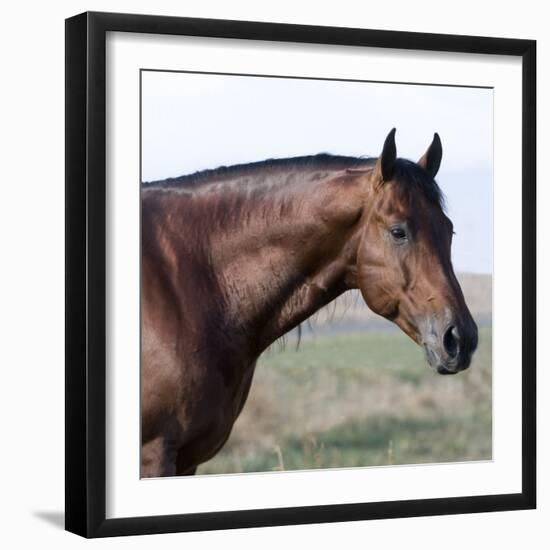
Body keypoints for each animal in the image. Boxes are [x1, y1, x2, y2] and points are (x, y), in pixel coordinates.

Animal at [141, 129, 478, 478]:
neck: (190, 281)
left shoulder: (188, 460)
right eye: (399, 231)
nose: (461, 338)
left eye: (449, 230)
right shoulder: (155, 453)